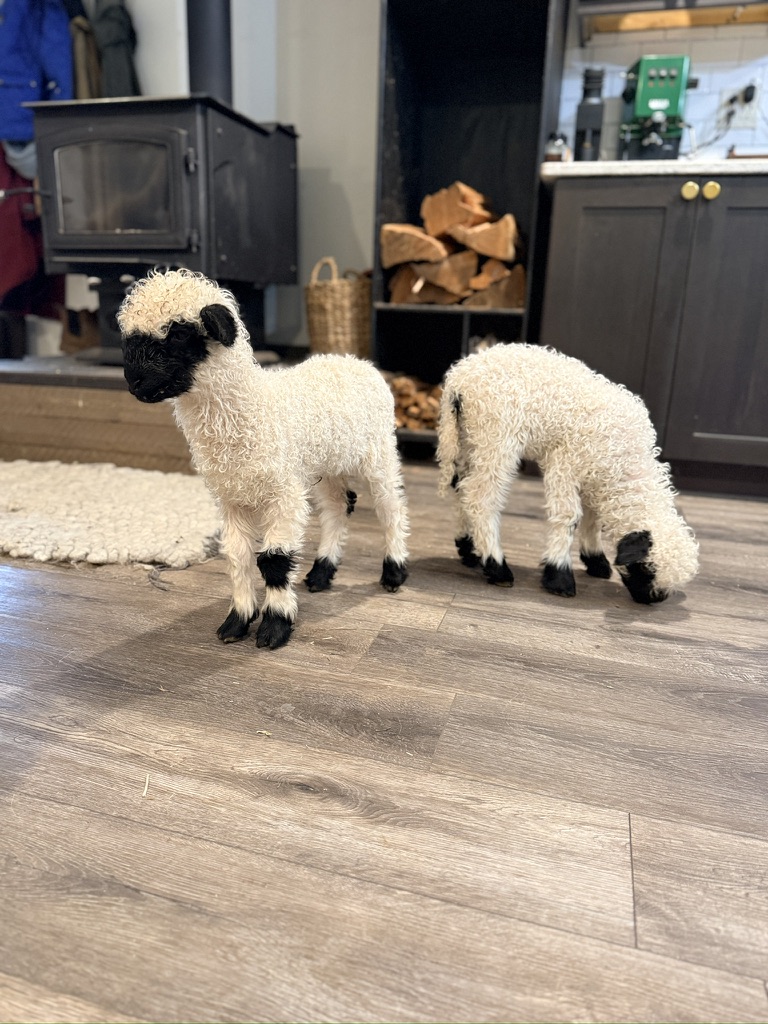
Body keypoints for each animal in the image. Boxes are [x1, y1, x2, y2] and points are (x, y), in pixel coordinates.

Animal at [117, 268, 409, 650]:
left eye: (179, 334)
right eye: (129, 338)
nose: (134, 381)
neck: (252, 410)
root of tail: (357, 362)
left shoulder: (283, 494)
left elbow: (274, 561)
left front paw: (275, 627)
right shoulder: (231, 497)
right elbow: (237, 556)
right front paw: (237, 620)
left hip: (377, 452)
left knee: (391, 507)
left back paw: (394, 571)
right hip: (324, 462)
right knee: (338, 506)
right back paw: (321, 573)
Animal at [436, 342, 699, 604]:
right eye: (646, 568)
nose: (653, 600)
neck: (626, 463)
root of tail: (459, 378)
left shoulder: (594, 473)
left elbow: (593, 518)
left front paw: (596, 560)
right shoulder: (565, 462)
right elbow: (567, 516)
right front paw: (559, 577)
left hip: (469, 438)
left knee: (461, 487)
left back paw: (469, 550)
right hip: (497, 437)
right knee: (479, 498)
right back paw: (497, 567)